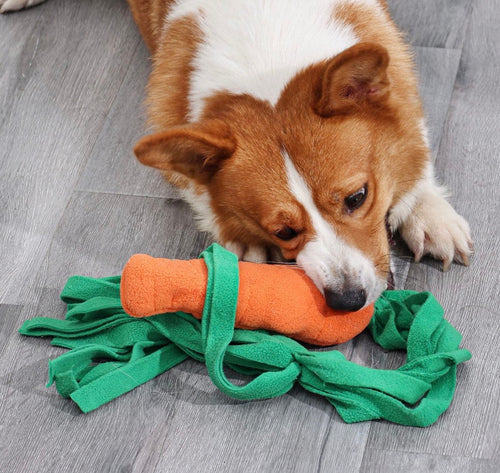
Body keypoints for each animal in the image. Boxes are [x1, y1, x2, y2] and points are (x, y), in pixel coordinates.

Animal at [2, 0, 472, 314]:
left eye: (358, 198)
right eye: (283, 232)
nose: (348, 300)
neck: (268, 56)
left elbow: (411, 150)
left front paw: (428, 214)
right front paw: (245, 243)